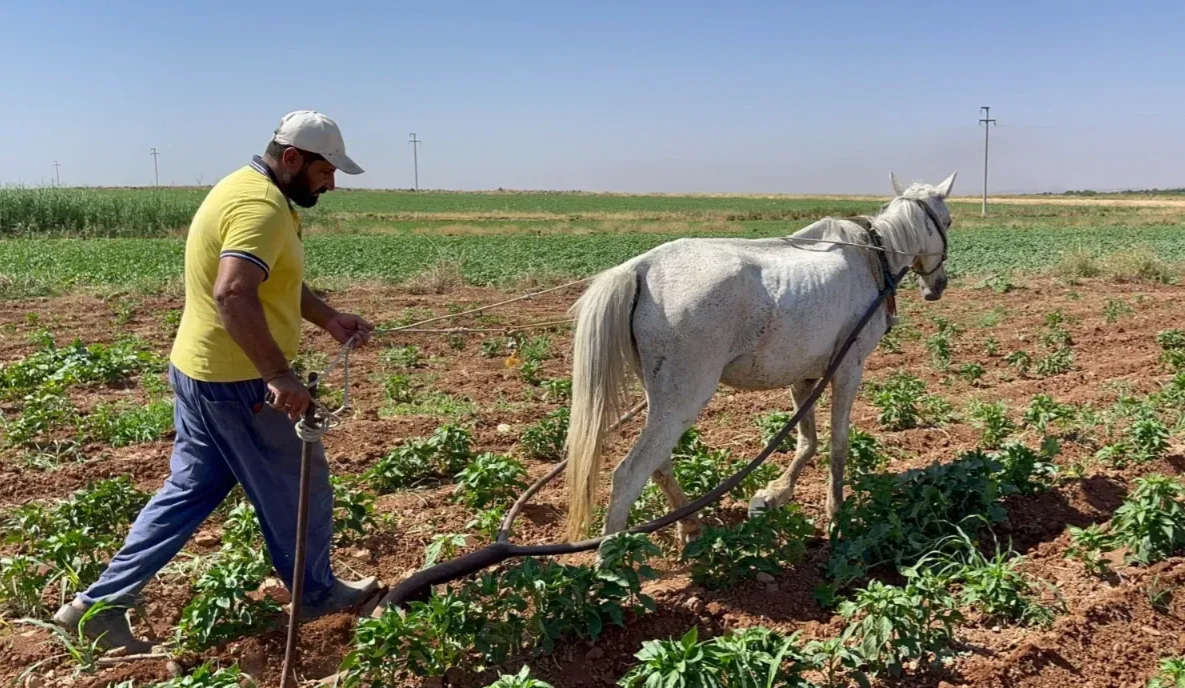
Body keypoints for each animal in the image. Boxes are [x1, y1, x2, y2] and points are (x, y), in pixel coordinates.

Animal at [559, 169, 957, 539]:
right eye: (949, 221)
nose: (937, 286)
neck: (873, 259)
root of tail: (641, 267)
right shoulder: (848, 369)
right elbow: (838, 443)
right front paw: (836, 515)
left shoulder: (805, 376)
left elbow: (807, 442)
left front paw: (772, 495)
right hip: (683, 399)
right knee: (629, 475)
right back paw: (614, 558)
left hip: (659, 398)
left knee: (659, 464)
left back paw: (690, 525)